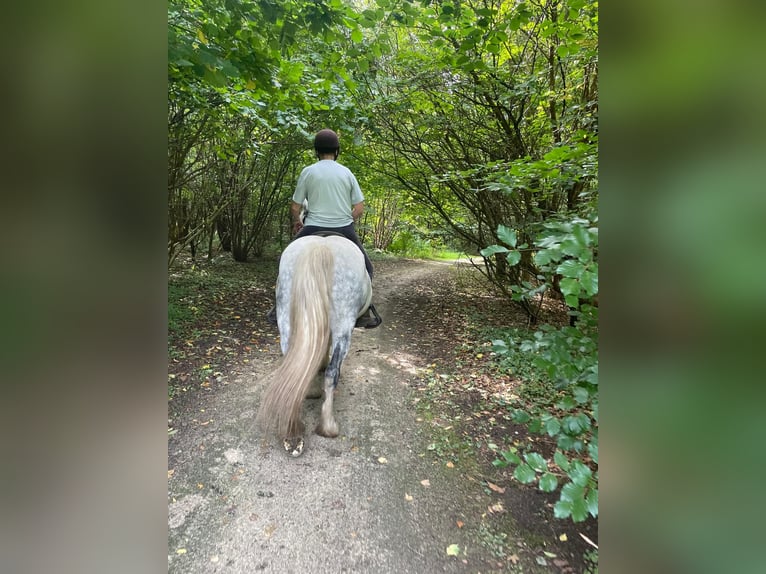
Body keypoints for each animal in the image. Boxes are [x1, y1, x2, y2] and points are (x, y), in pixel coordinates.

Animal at [257, 234, 374, 456]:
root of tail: (319, 247)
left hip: (286, 319)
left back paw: (293, 434)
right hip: (344, 324)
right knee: (331, 373)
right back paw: (328, 426)